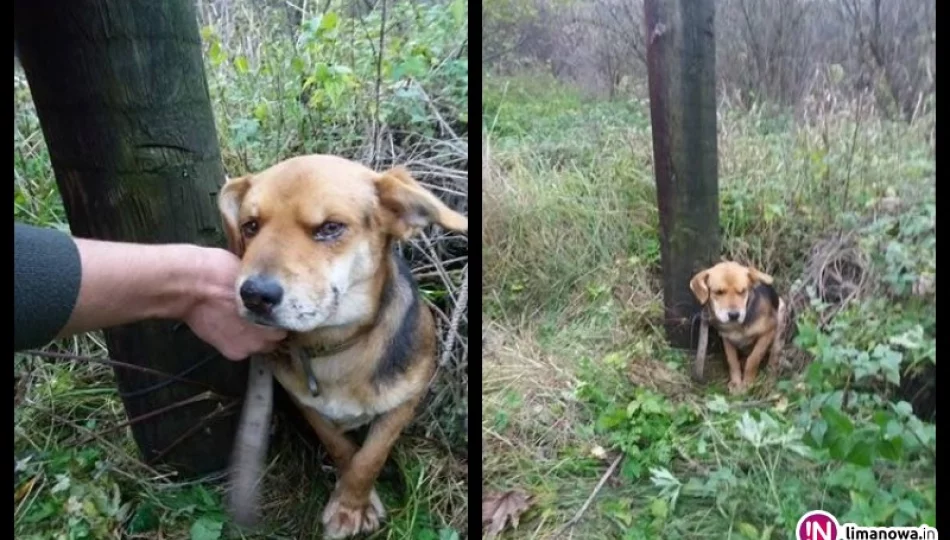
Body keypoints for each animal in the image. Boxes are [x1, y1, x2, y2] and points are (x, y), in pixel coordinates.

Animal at [217, 154, 468, 536]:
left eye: (331, 227)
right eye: (250, 226)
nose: (254, 295)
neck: (336, 347)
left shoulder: (404, 403)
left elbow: (370, 457)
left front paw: (352, 506)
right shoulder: (305, 402)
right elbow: (341, 447)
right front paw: (350, 500)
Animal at [688, 260, 784, 394]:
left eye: (742, 291)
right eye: (719, 292)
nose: (734, 315)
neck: (735, 326)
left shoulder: (768, 331)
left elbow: (753, 359)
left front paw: (748, 383)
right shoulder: (727, 339)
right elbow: (732, 361)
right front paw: (736, 382)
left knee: (774, 355)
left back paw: (770, 378)